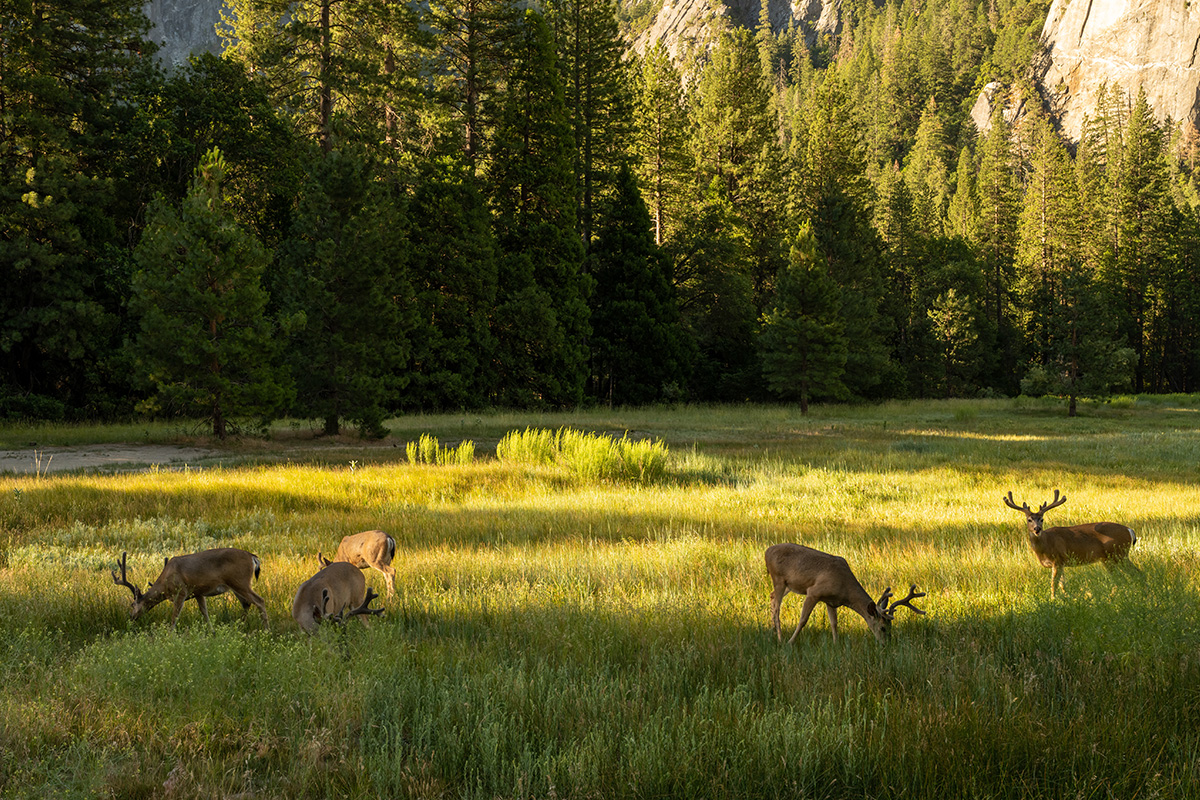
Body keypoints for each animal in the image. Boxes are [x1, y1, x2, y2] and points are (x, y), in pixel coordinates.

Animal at [111, 546, 268, 628]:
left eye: (132, 604)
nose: (131, 617)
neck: (165, 583)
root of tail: (253, 557)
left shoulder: (181, 591)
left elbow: (175, 617)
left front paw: (170, 636)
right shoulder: (198, 592)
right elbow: (204, 612)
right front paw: (211, 632)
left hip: (240, 581)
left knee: (259, 600)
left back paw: (266, 631)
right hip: (235, 585)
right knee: (246, 604)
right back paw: (239, 627)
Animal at [763, 542, 921, 647]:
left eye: (891, 627)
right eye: (883, 628)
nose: (885, 645)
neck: (844, 589)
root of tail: (766, 551)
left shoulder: (831, 601)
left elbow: (834, 623)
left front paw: (836, 645)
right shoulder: (814, 592)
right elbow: (803, 620)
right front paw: (790, 642)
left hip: (788, 585)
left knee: (771, 596)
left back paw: (772, 631)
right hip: (778, 579)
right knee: (777, 608)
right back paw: (780, 638)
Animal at [998, 491, 1137, 597]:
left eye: (1042, 519)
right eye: (1029, 519)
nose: (1037, 529)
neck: (1045, 546)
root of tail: (1130, 530)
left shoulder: (1058, 559)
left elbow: (1054, 584)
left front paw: (1053, 600)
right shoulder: (1060, 563)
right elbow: (1062, 584)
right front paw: (1067, 598)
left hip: (1119, 554)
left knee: (1134, 574)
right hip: (1108, 558)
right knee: (1121, 578)